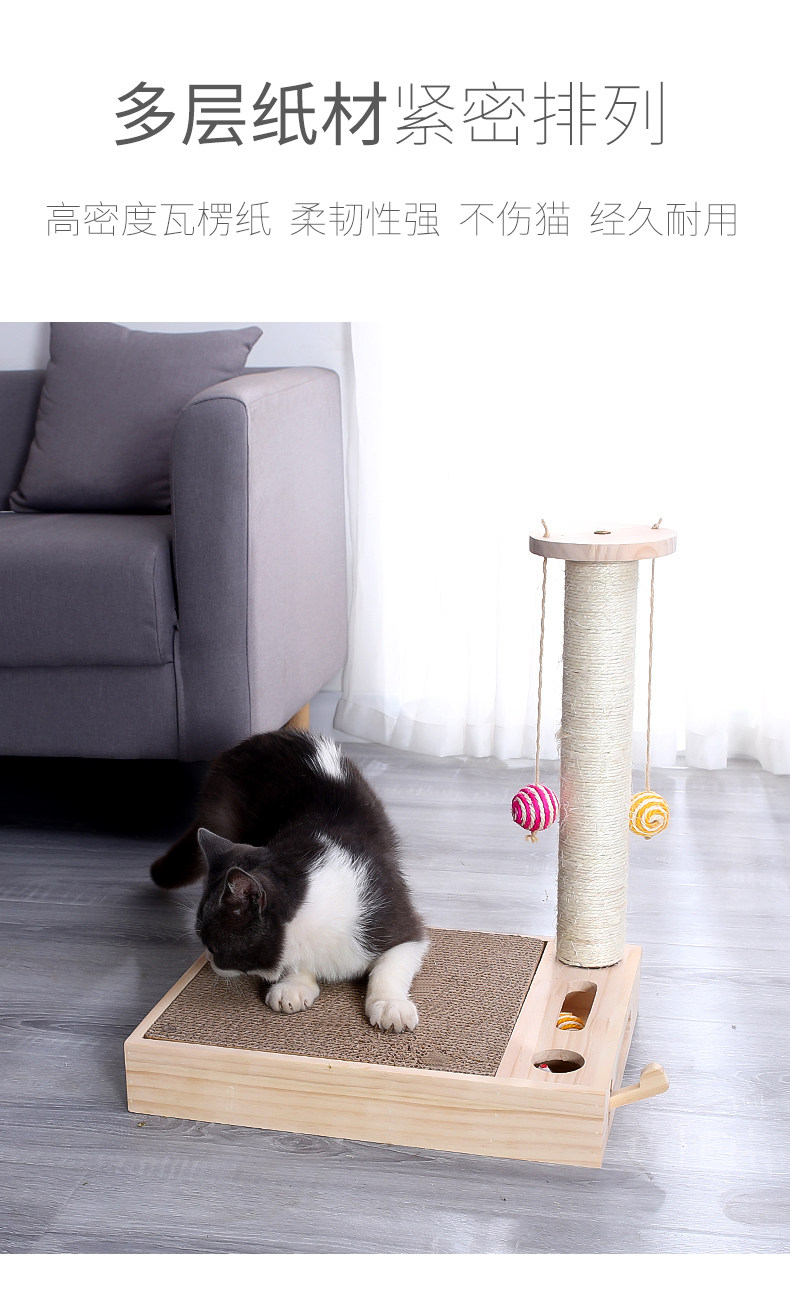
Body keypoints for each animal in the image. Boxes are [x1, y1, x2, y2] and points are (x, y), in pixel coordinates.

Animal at [151, 728, 428, 1033]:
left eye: (213, 944)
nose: (210, 958)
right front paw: (293, 986)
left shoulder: (395, 915)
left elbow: (394, 960)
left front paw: (391, 1006)